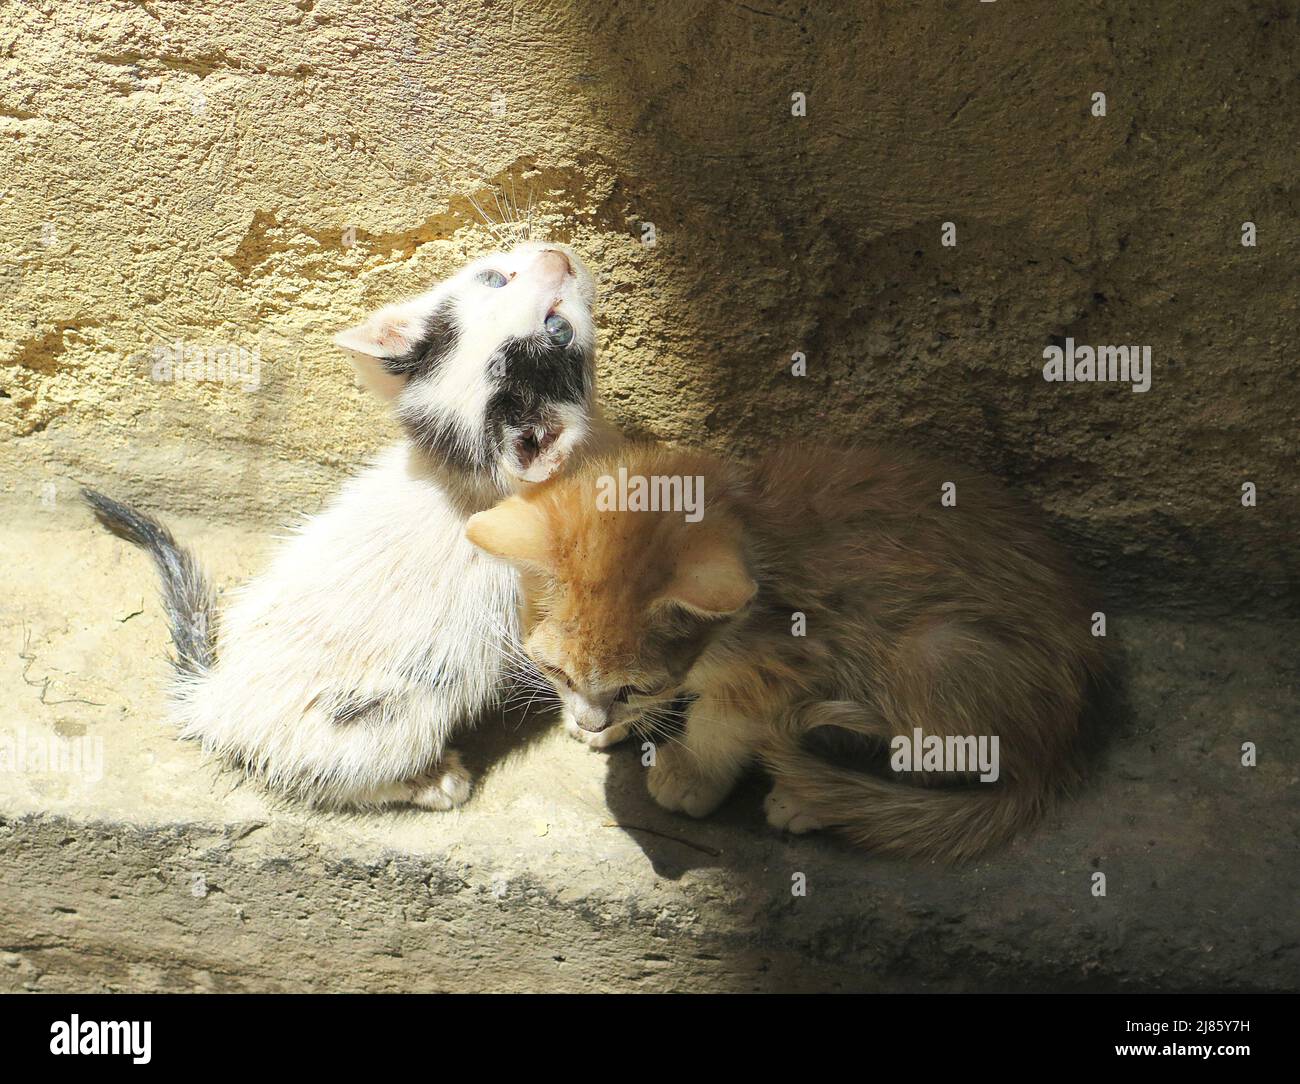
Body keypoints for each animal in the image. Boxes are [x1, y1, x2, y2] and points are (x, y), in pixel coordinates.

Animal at [83, 240, 616, 805]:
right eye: (496, 279)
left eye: (557, 327)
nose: (558, 257)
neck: (460, 477)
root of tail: (213, 701)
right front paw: (595, 724)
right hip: (388, 720)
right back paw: (435, 780)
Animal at [462, 444, 1102, 857]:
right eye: (556, 670)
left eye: (636, 684)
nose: (592, 717)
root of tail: (1061, 748)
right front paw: (609, 726)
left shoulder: (790, 659)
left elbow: (724, 720)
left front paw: (692, 770)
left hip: (936, 650)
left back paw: (816, 798)